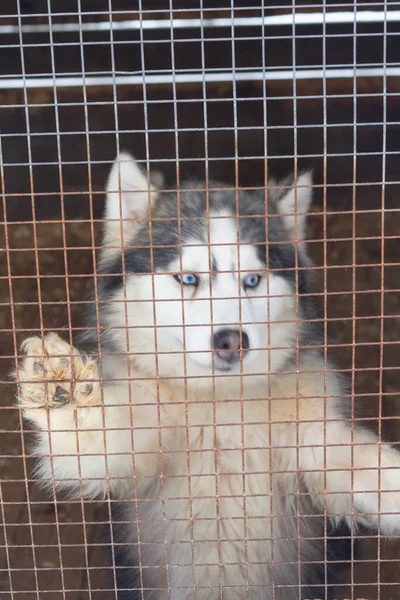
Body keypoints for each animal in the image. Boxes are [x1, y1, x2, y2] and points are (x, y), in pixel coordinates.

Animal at [17, 152, 400, 596]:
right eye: (188, 278)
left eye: (252, 280)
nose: (232, 341)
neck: (217, 406)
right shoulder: (124, 443)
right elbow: (91, 439)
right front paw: (61, 388)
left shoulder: (314, 441)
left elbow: (358, 464)